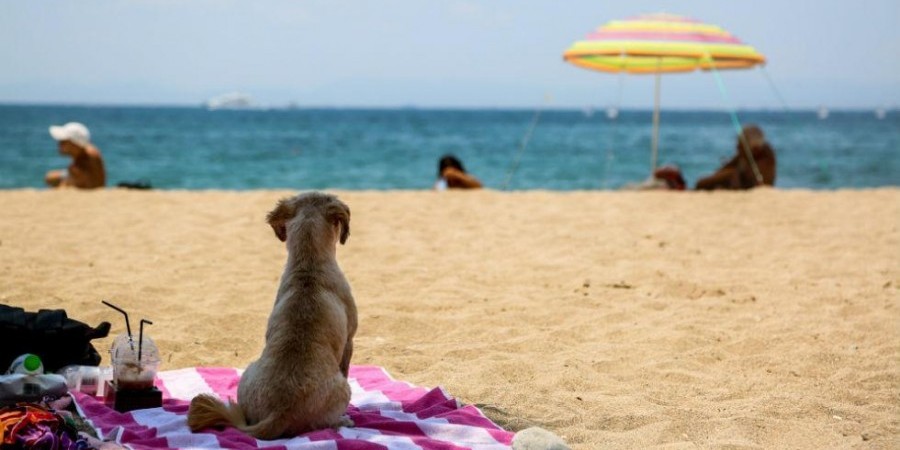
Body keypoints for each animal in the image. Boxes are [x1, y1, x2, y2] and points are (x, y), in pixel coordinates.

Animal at [186, 192, 356, 438]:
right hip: (343, 388)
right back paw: (343, 420)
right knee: (324, 423)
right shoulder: (350, 341)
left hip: (247, 374)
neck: (309, 265)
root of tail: (279, 412)